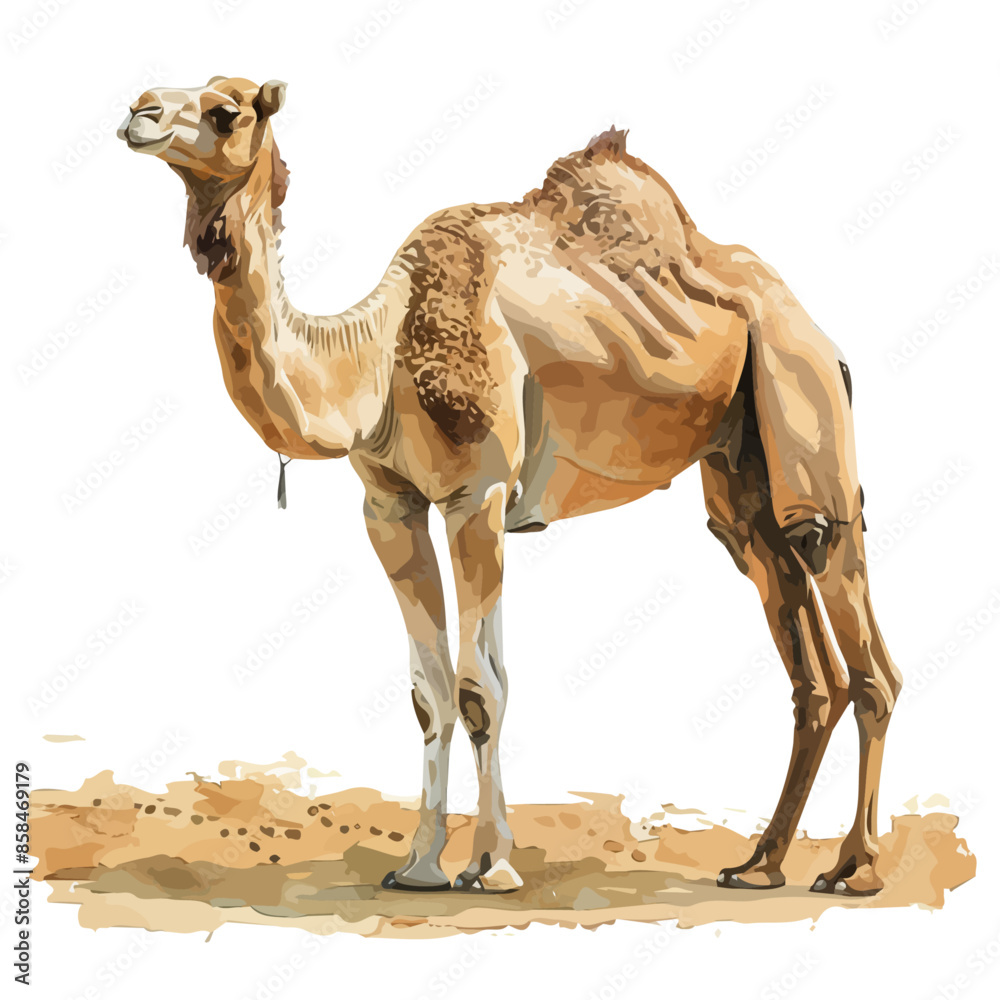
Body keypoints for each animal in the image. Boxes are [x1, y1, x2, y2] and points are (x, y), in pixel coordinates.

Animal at [119, 77, 902, 896]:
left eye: (226, 111)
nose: (140, 111)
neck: (376, 356)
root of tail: (808, 320)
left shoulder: (479, 496)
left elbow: (479, 687)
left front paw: (490, 864)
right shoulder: (391, 507)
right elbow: (429, 693)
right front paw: (419, 866)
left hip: (803, 393)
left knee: (852, 613)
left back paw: (855, 868)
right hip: (737, 469)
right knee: (799, 641)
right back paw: (759, 864)